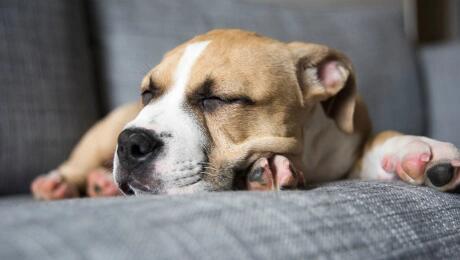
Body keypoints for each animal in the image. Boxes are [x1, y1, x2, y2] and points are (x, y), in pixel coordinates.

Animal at [30, 29, 460, 199]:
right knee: (76, 163)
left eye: (218, 99)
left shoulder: (350, 148)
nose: (131, 142)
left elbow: (383, 141)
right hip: (102, 133)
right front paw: (267, 168)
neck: (310, 153)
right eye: (147, 94)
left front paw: (419, 154)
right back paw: (61, 183)